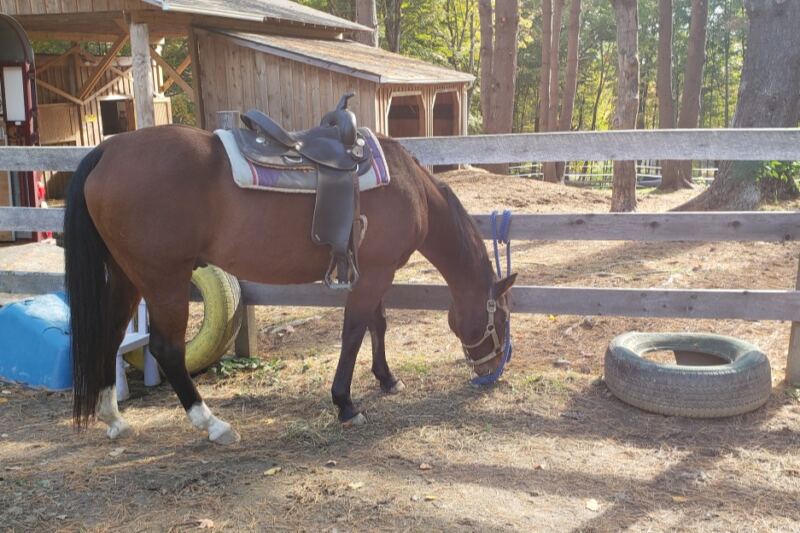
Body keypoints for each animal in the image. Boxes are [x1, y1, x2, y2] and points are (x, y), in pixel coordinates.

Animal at [64, 124, 516, 444]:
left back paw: (113, 417)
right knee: (166, 348)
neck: (411, 186)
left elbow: (377, 325)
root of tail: (108, 150)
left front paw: (387, 379)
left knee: (110, 333)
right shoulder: (375, 274)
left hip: (128, 276)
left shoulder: (375, 271)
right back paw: (212, 424)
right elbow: (354, 331)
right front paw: (346, 403)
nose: (489, 371)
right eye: (502, 320)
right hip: (164, 278)